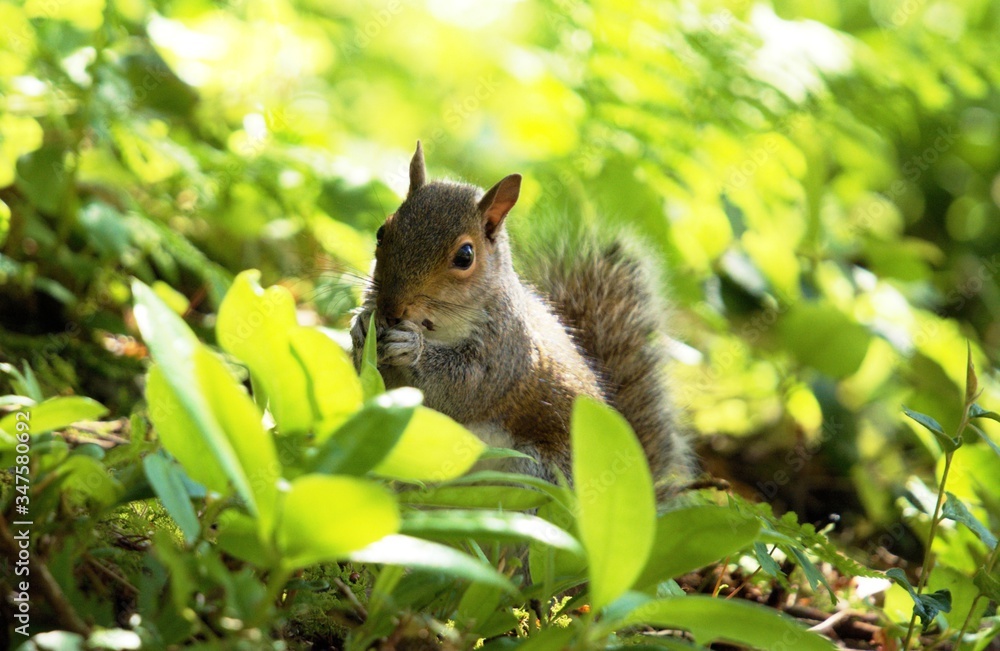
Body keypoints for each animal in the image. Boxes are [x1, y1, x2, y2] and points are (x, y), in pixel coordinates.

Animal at [354, 140, 696, 492]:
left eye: (465, 256)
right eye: (381, 231)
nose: (391, 309)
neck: (436, 327)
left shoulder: (507, 350)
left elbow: (464, 387)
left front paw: (411, 347)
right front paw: (361, 326)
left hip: (536, 476)